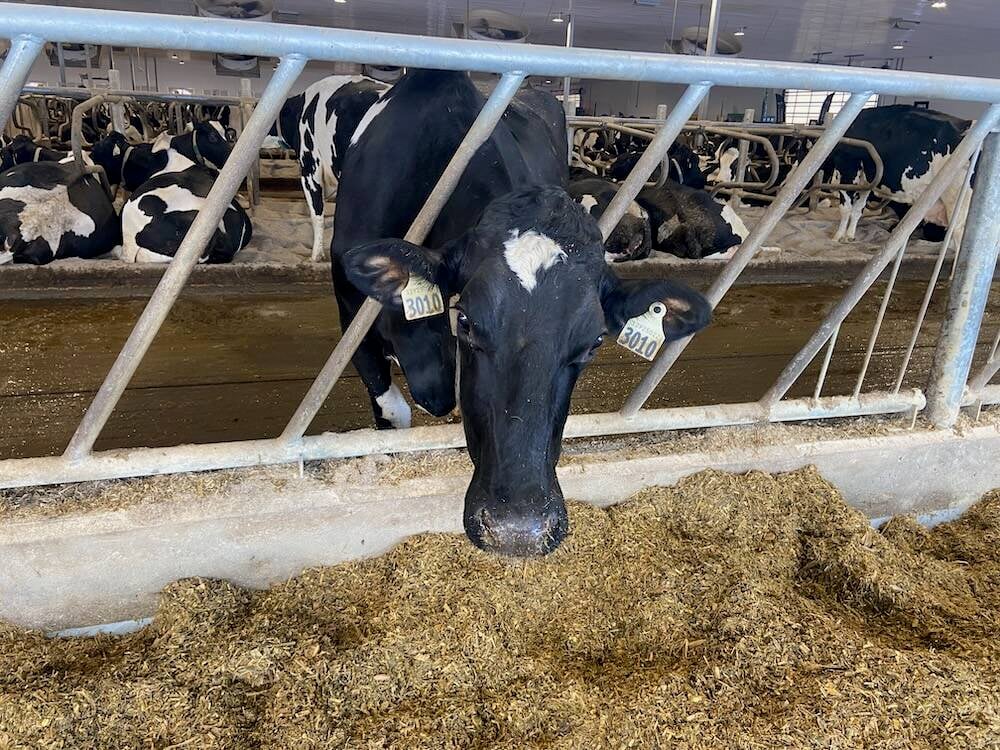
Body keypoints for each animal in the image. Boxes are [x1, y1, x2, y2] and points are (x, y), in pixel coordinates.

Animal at [822, 105, 972, 243]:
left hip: (957, 203)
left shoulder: (847, 168)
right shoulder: (866, 180)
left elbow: (846, 208)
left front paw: (837, 237)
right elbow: (858, 209)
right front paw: (849, 236)